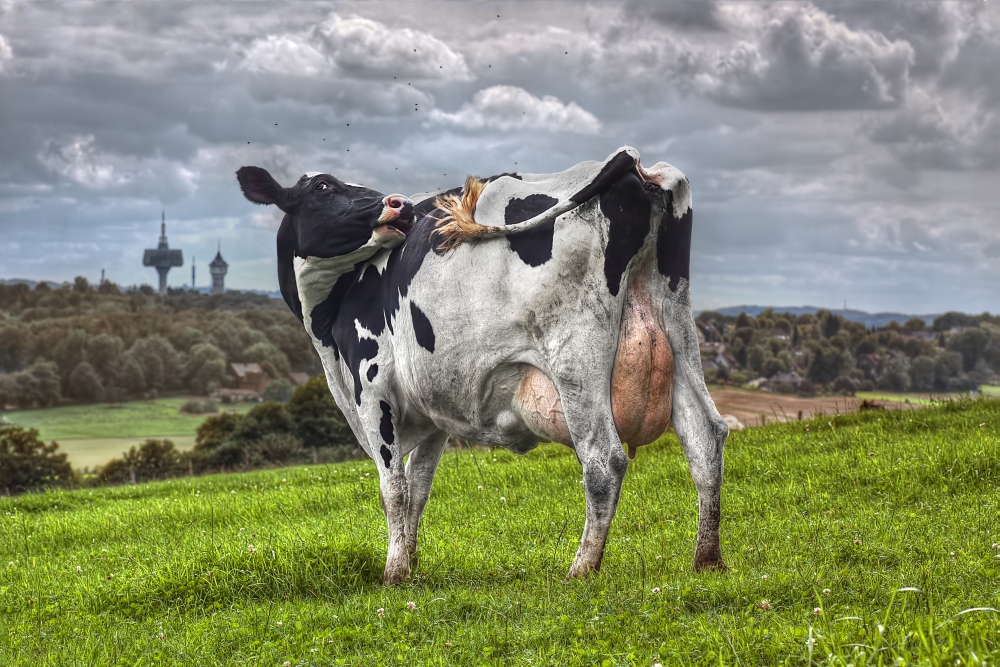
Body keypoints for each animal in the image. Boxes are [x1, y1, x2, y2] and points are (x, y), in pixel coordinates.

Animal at [238, 147, 732, 584]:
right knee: (705, 436)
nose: (399, 206)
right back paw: (707, 560)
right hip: (676, 327)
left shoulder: (373, 387)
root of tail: (634, 164)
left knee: (603, 459)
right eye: (324, 187)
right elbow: (419, 488)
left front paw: (393, 572)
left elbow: (394, 489)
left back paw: (581, 569)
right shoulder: (432, 412)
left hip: (576, 354)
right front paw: (410, 566)